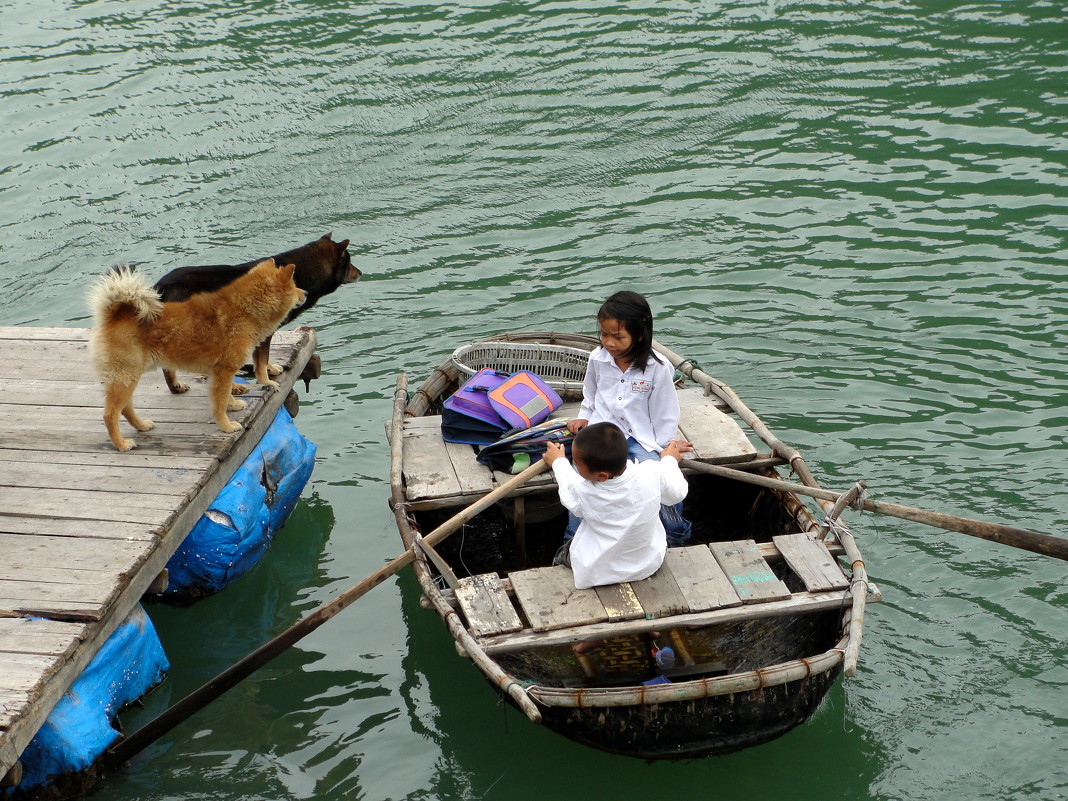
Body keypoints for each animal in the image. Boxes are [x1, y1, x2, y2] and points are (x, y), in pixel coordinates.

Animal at [88, 261, 307, 452]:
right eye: (294, 285)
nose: (305, 293)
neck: (243, 310)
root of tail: (115, 317)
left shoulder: (221, 373)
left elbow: (226, 395)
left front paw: (233, 405)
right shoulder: (224, 371)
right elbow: (219, 404)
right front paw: (226, 426)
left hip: (128, 379)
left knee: (125, 409)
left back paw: (141, 426)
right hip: (125, 379)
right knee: (110, 415)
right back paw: (121, 444)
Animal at [152, 231, 358, 395]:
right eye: (349, 262)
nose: (361, 273)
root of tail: (160, 287)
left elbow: (262, 358)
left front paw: (270, 369)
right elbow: (261, 360)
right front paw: (265, 381)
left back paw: (176, 387)